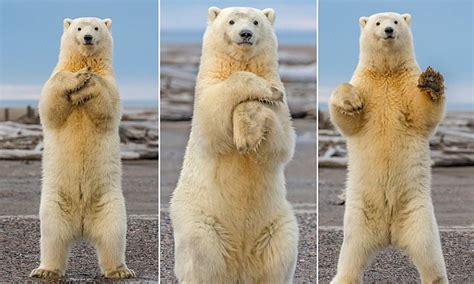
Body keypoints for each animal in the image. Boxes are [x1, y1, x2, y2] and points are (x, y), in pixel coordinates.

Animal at [29, 17, 134, 280]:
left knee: (113, 235)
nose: (87, 37)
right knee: (52, 237)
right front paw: (79, 77)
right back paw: (45, 270)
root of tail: (82, 226)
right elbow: (50, 103)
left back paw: (120, 270)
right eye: (78, 28)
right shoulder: (56, 75)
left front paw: (89, 80)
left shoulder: (111, 83)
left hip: (109, 203)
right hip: (54, 203)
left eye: (96, 28)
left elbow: (107, 104)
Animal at [168, 6, 298, 284]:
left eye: (256, 21)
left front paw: (248, 131)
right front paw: (264, 92)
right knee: (202, 254)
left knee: (279, 256)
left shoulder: (281, 110)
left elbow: (281, 141)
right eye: (231, 21)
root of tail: (241, 265)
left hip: (276, 224)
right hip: (200, 218)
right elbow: (214, 116)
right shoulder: (207, 89)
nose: (245, 33)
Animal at [330, 11, 448, 284]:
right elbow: (348, 120)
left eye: (395, 21)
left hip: (418, 212)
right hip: (359, 216)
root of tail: (389, 234)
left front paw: (432, 81)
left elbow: (422, 113)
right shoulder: (365, 84)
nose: (388, 31)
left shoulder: (406, 84)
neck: (386, 73)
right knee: (351, 255)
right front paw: (351, 101)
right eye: (377, 22)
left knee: (429, 252)